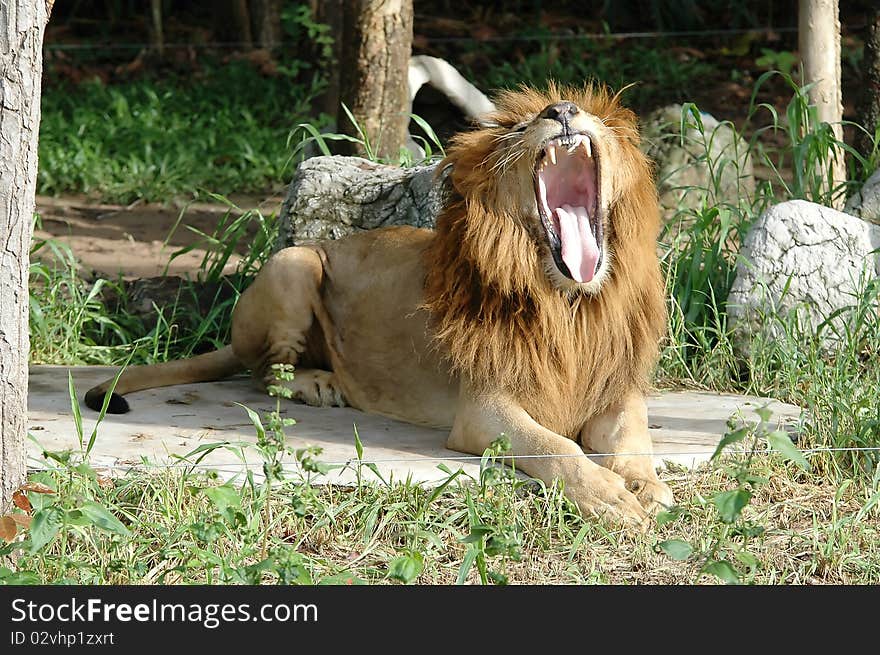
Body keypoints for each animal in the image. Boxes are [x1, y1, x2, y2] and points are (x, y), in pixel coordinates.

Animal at [84, 84, 672, 524]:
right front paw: (608, 494)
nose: (564, 110)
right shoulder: (483, 410)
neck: (568, 303)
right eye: (518, 126)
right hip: (295, 262)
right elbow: (554, 446)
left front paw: (645, 486)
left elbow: (633, 439)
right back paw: (318, 385)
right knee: (263, 372)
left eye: (581, 110)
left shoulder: (616, 389)